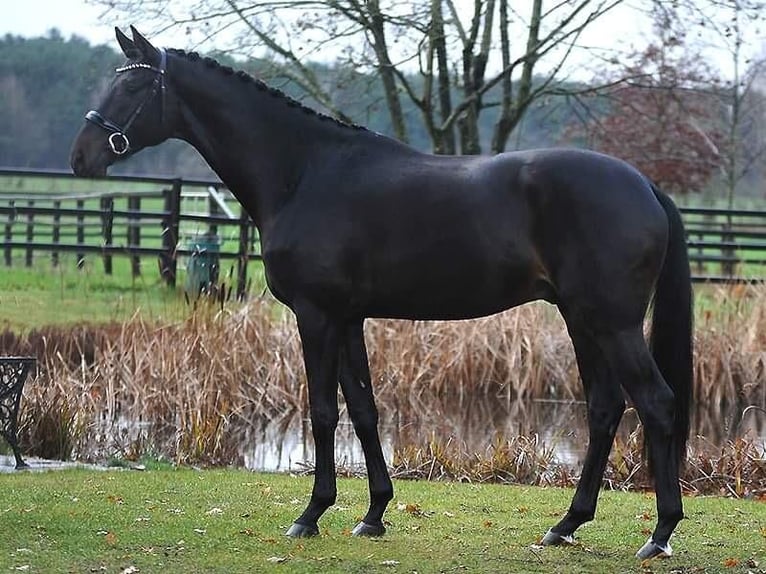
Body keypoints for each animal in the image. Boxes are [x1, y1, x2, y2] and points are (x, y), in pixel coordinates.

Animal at [70, 28, 696, 564]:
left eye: (133, 86)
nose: (81, 157)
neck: (304, 172)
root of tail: (643, 184)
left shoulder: (316, 317)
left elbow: (323, 411)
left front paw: (310, 515)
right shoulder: (348, 319)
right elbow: (364, 408)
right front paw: (372, 514)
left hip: (610, 322)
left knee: (657, 403)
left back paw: (660, 534)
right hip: (581, 318)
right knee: (605, 407)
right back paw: (566, 525)